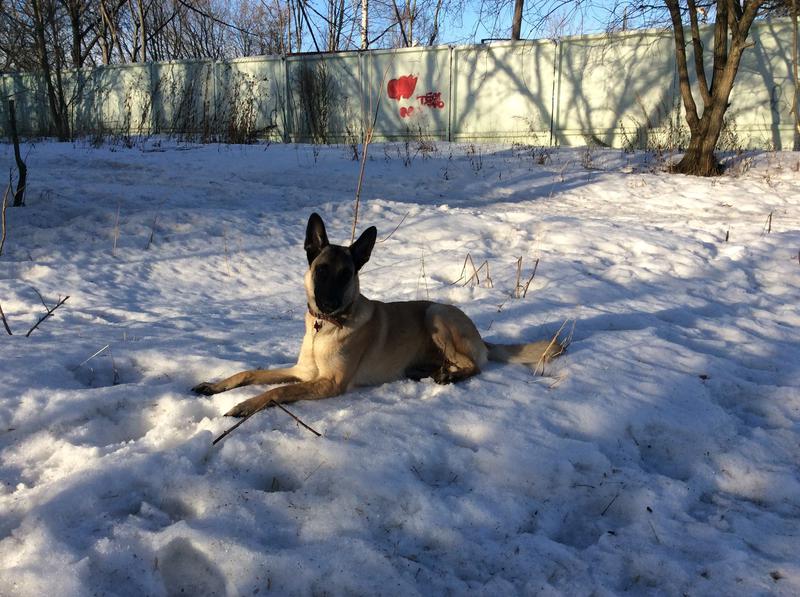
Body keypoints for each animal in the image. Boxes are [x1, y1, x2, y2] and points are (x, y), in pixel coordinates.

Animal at [194, 212, 564, 416]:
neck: (324, 329)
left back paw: (447, 376)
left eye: (346, 275)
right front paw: (216, 386)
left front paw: (243, 406)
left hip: (436, 313)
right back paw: (425, 370)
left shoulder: (328, 383)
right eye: (322, 271)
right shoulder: (302, 372)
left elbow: (276, 392)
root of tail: (480, 337)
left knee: (472, 365)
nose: (328, 303)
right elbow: (250, 372)